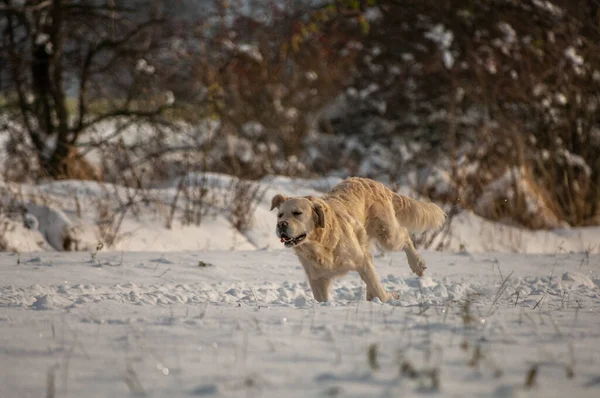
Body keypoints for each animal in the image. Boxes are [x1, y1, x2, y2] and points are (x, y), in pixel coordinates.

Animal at [272, 177, 446, 302]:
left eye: (297, 213)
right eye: (280, 215)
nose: (281, 225)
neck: (319, 245)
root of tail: (375, 182)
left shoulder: (360, 260)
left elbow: (378, 289)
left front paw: (390, 297)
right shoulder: (317, 278)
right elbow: (322, 299)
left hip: (387, 236)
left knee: (404, 236)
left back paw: (417, 265)